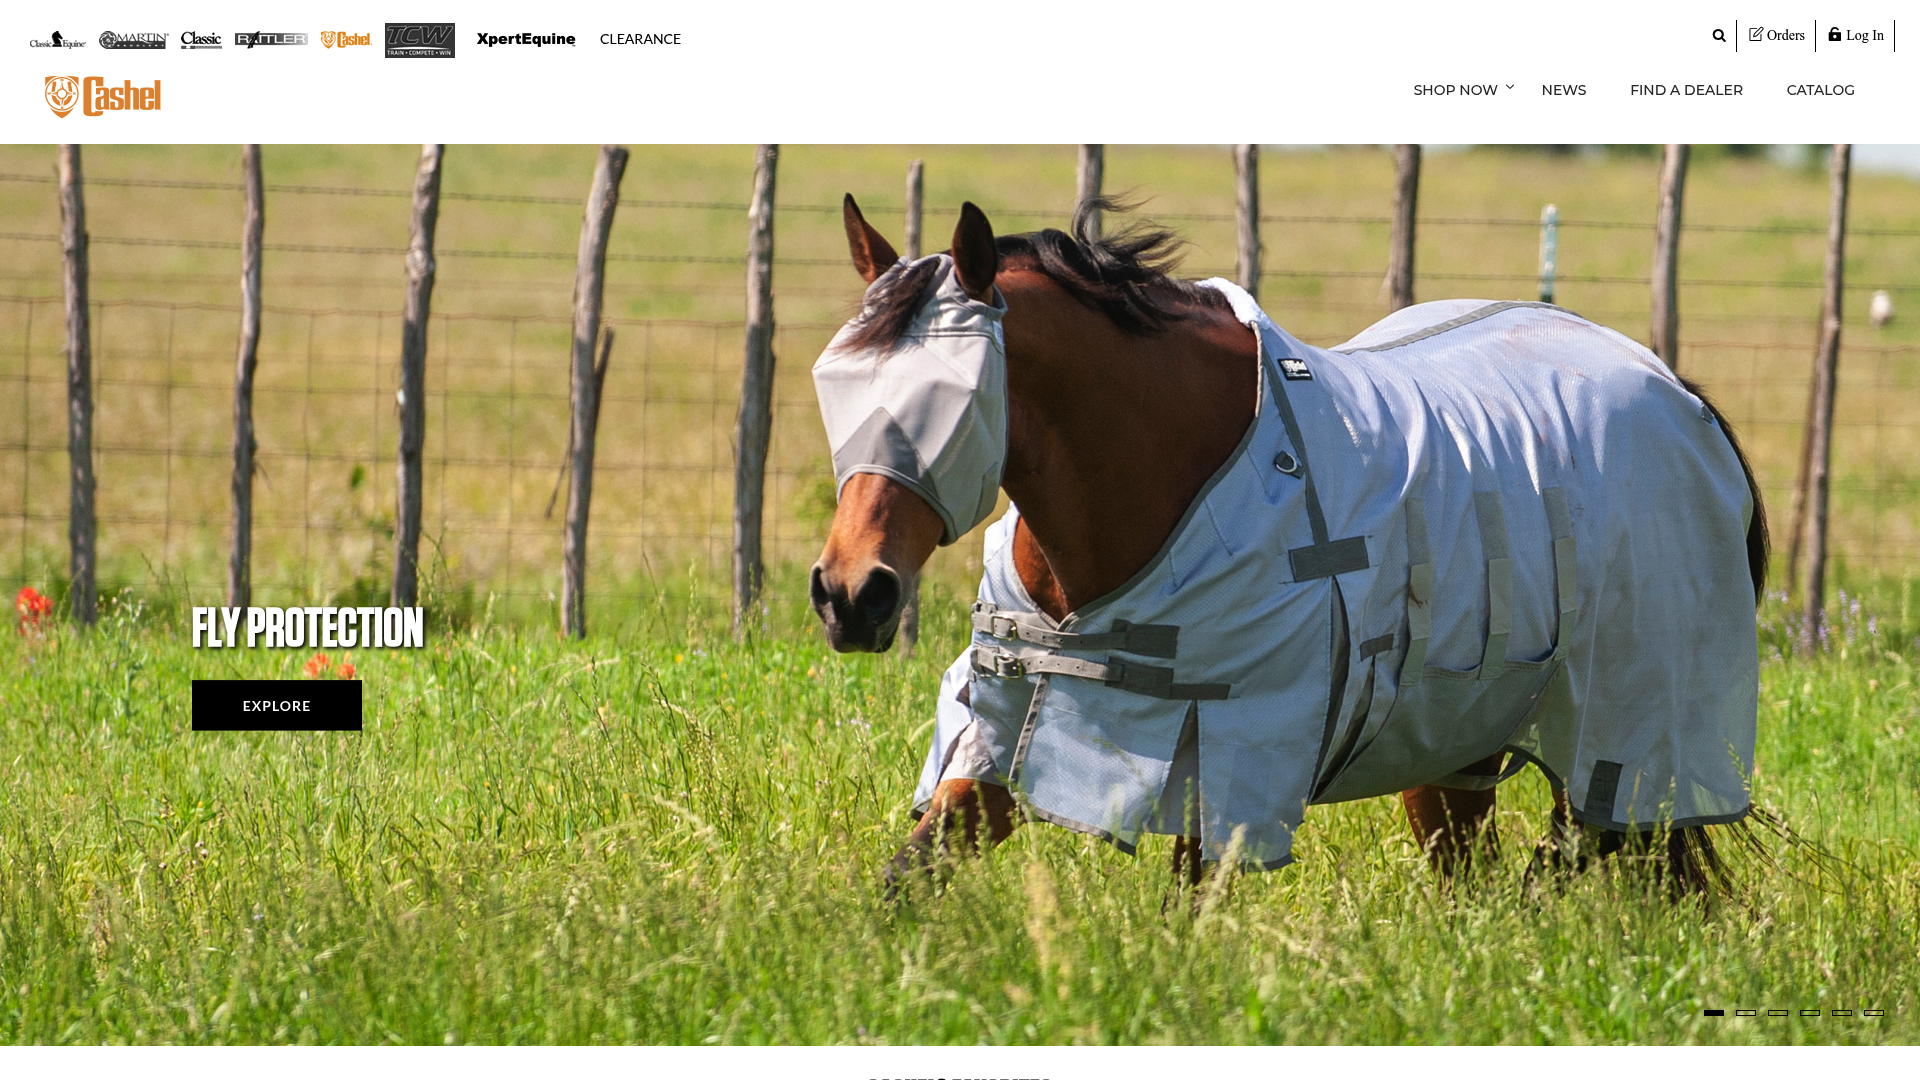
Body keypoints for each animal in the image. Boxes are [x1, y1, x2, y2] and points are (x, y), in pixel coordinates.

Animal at [808, 194, 1767, 898]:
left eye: (950, 395)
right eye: (835, 381)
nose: (851, 595)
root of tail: (1680, 394)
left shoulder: (1228, 768)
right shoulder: (1009, 737)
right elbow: (904, 882)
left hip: (1629, 747)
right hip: (1455, 746)